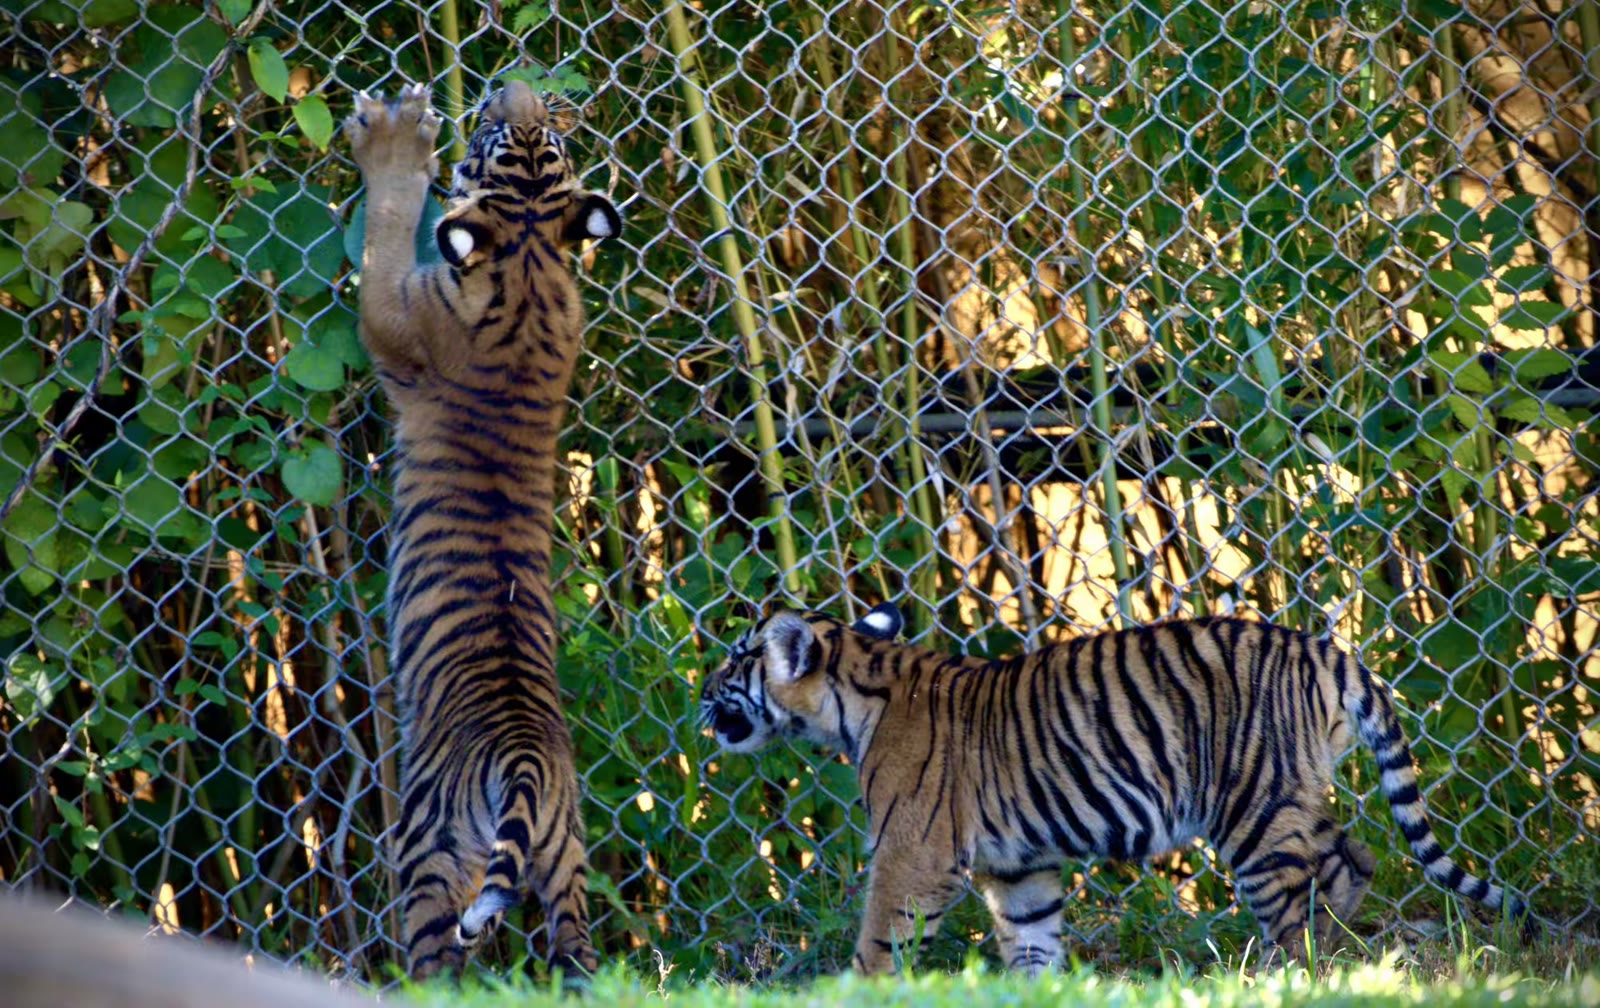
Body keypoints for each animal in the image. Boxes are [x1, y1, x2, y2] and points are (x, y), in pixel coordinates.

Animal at [342, 81, 619, 981]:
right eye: (539, 133)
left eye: (497, 137)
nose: (514, 89)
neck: (530, 256)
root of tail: (527, 760)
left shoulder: (391, 311)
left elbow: (390, 222)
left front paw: (395, 141)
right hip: (567, 866)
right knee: (579, 957)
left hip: (428, 853)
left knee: (437, 962)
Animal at [699, 603, 1530, 975]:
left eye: (737, 658)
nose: (700, 694)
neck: (858, 690)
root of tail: (1327, 651)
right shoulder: (1020, 866)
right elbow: (1031, 939)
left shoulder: (914, 852)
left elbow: (880, 936)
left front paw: (862, 987)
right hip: (1292, 794)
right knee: (1353, 861)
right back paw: (1337, 955)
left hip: (1253, 812)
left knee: (1292, 902)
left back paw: (1284, 973)